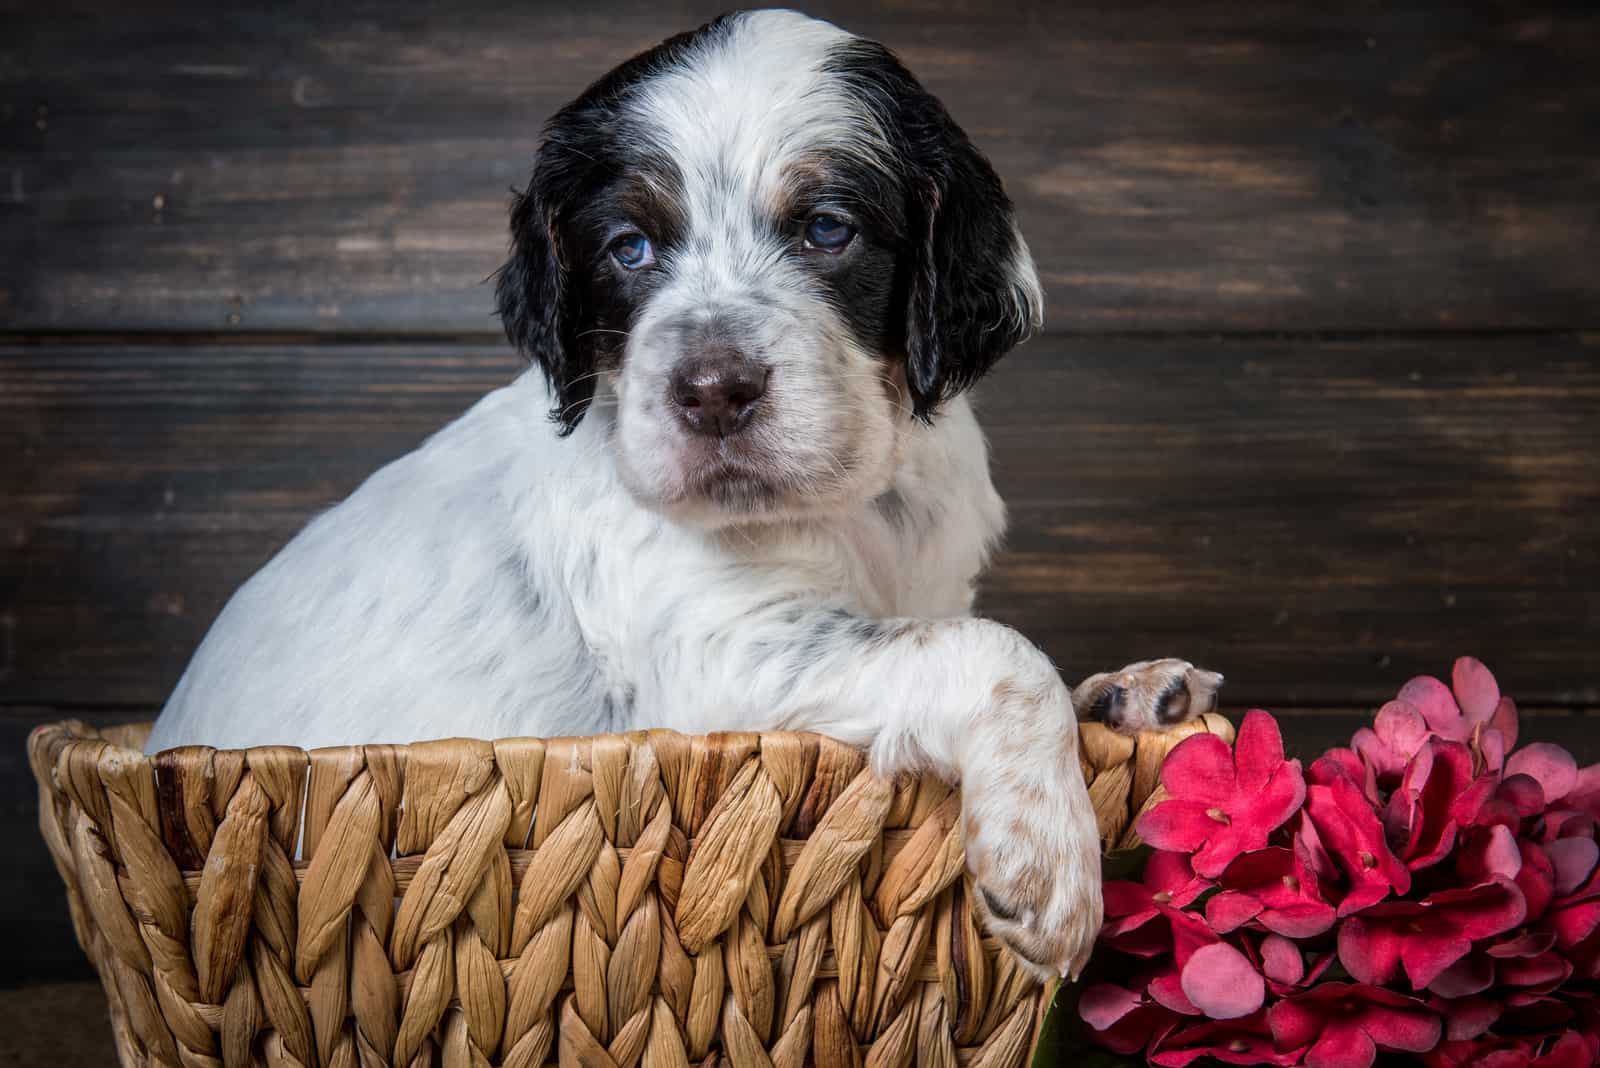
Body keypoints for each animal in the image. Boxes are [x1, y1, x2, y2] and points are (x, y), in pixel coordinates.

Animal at [152, 8, 1222, 978]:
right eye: (628, 248)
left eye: (827, 230)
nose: (711, 390)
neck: (850, 502)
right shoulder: (720, 664)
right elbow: (992, 649)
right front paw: (1047, 869)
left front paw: (1128, 691)